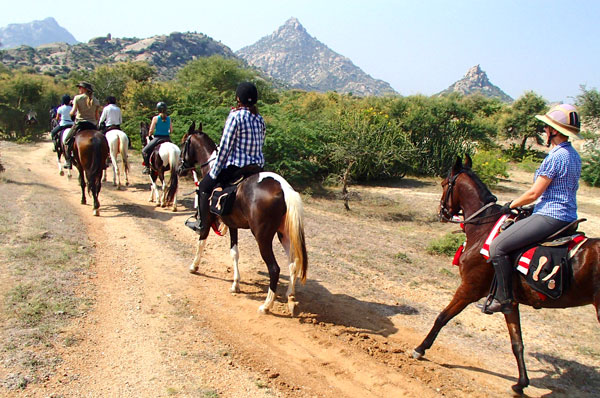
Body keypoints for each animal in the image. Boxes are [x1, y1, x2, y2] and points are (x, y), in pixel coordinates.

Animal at [177, 123, 310, 316]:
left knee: (274, 268)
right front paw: (235, 284)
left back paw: (266, 305)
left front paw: (194, 266)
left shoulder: (208, 219)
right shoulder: (233, 225)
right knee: (293, 263)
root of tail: (284, 189)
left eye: (183, 143)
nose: (180, 168)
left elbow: (201, 241)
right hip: (283, 234)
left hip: (262, 237)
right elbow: (234, 252)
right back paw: (290, 296)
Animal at [412, 155, 600, 394]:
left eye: (444, 184)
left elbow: (442, 317)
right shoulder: (509, 301)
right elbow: (516, 341)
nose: (442, 212)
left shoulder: (469, 289)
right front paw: (521, 383)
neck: (483, 229)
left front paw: (420, 349)